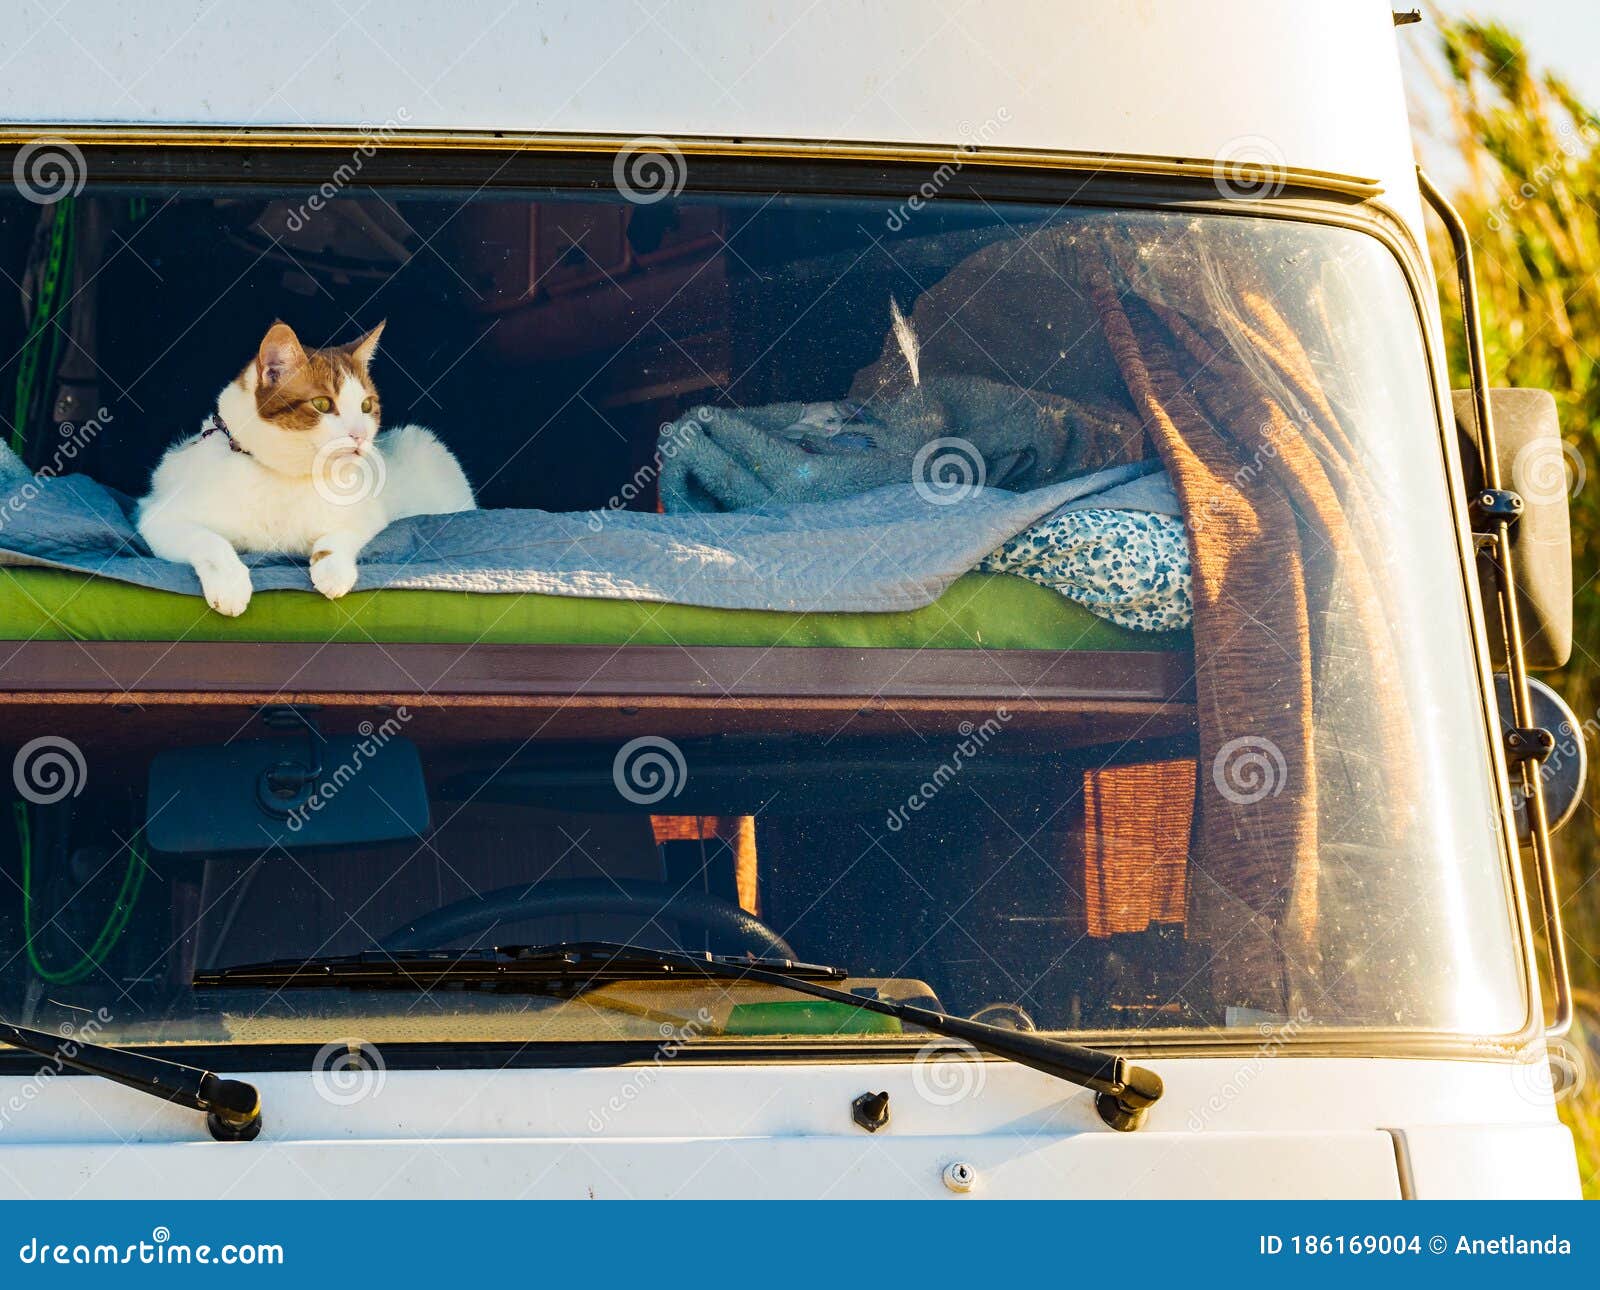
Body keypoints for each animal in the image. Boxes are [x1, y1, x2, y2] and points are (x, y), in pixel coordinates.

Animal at [136, 320, 473, 617]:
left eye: (366, 406)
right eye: (322, 404)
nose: (360, 435)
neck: (284, 475)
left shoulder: (369, 515)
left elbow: (340, 537)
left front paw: (333, 568)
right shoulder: (156, 517)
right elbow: (209, 541)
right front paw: (230, 583)